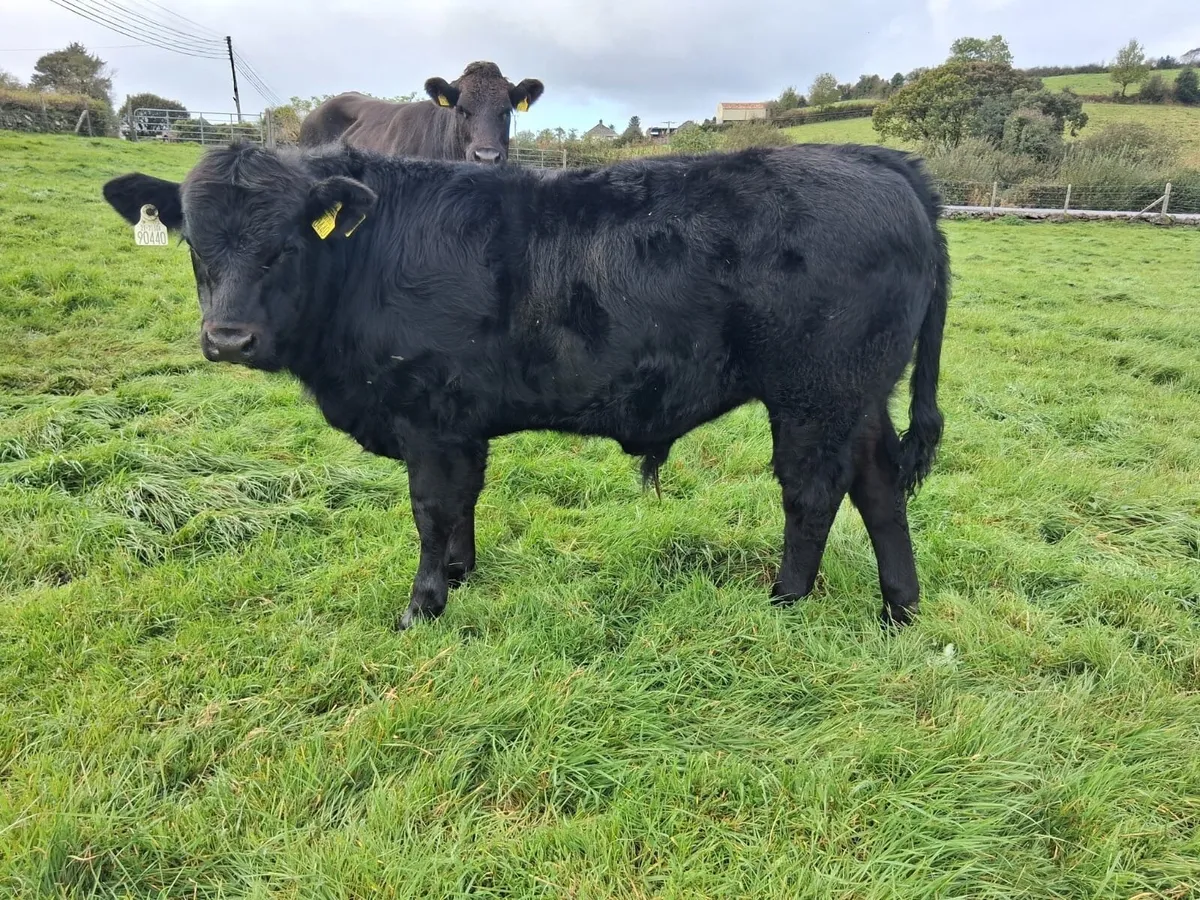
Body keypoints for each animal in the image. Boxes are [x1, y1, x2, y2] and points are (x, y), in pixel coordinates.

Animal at [100, 139, 949, 632]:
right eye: (196, 244)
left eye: (283, 244)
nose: (228, 338)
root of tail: (875, 159)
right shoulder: (461, 422)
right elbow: (463, 503)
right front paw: (459, 572)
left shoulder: (429, 416)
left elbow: (430, 508)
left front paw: (422, 606)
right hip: (861, 395)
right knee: (878, 486)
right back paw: (899, 608)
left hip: (815, 394)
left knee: (813, 493)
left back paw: (785, 599)